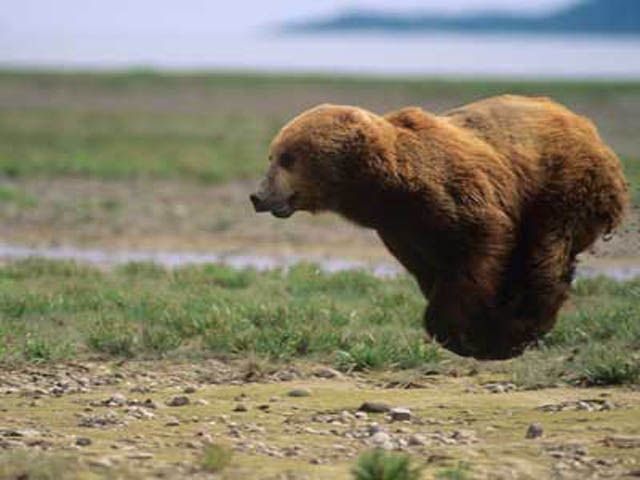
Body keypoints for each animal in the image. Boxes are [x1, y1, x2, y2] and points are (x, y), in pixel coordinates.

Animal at [250, 95, 629, 360]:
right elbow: (431, 269)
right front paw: (475, 330)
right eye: (272, 155)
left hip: (562, 184)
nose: (258, 196)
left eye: (287, 158)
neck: (388, 187)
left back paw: (525, 326)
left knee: (545, 251)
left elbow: (480, 248)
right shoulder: (402, 229)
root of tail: (589, 128)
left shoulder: (456, 197)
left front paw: (465, 333)